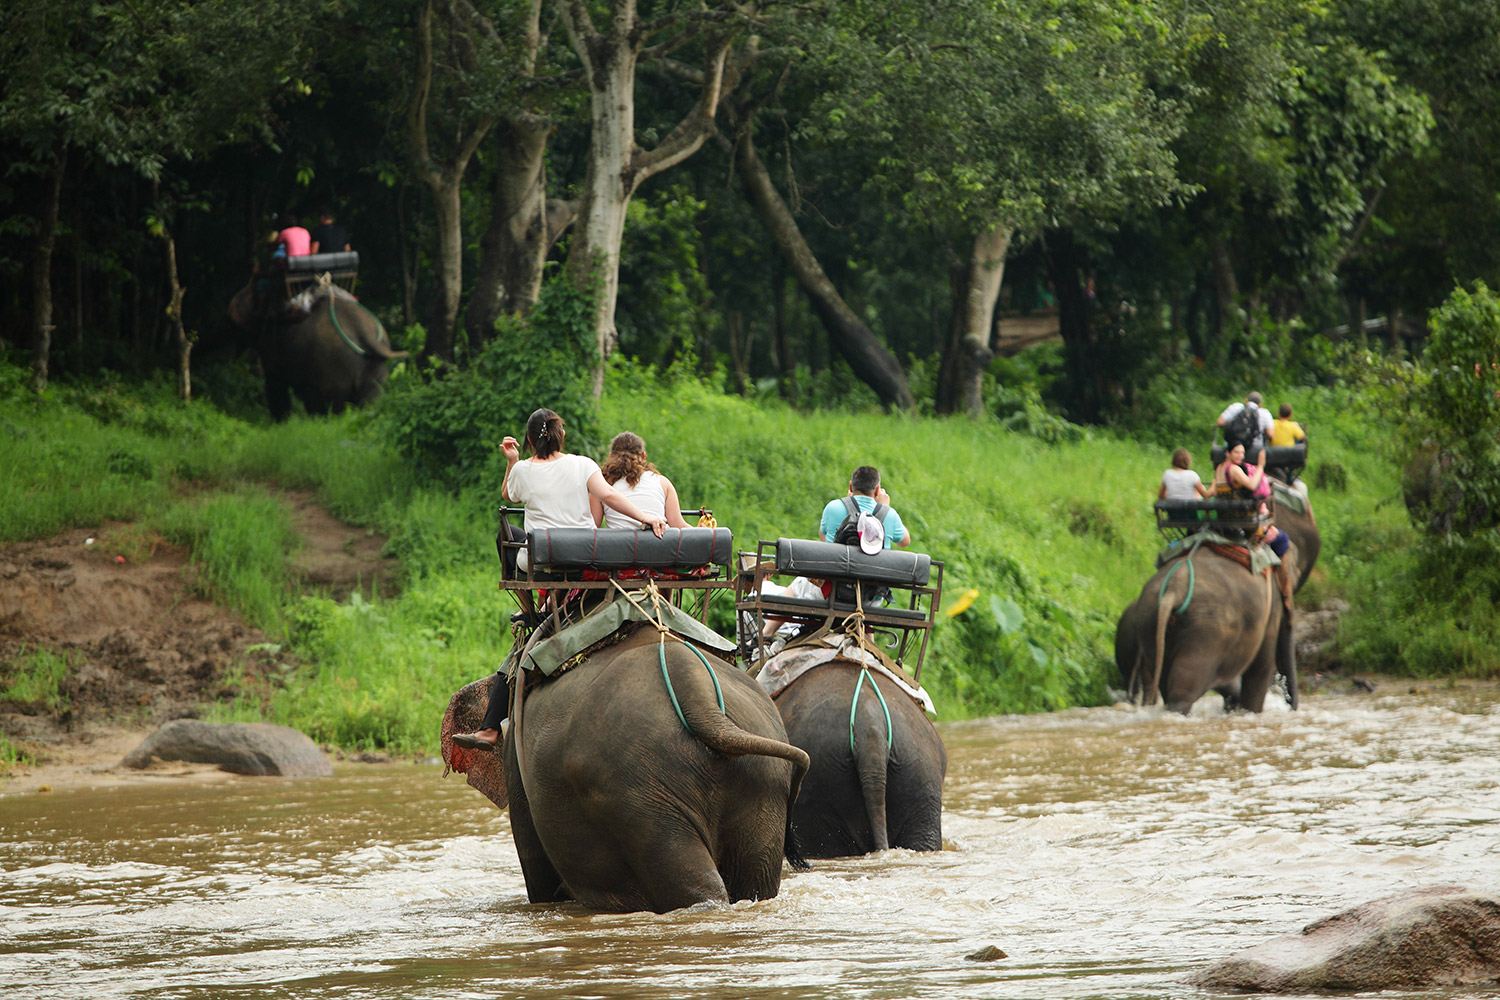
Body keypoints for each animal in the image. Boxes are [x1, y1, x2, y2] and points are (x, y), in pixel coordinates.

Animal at [227, 280, 405, 420]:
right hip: (375, 367)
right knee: (371, 397)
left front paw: (280, 423)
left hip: (333, 364)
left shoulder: (272, 347)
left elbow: (275, 384)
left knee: (330, 402)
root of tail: (363, 330)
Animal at [441, 626, 810, 914]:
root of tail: (699, 696)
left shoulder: (517, 773)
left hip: (634, 791)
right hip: (762, 783)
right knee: (756, 880)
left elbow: (538, 873)